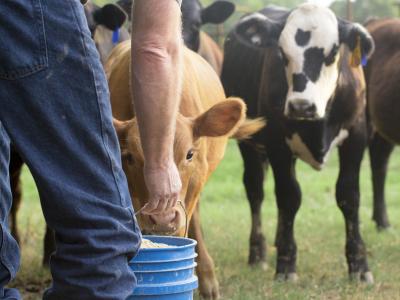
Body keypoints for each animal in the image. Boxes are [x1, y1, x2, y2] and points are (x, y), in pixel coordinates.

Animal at [222, 3, 376, 282]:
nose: (301, 106)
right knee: (256, 190)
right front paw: (285, 265)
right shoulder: (277, 143)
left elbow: (349, 196)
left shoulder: (357, 137)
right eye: (282, 52)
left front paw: (359, 266)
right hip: (248, 143)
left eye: (333, 52)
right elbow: (289, 197)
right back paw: (258, 252)